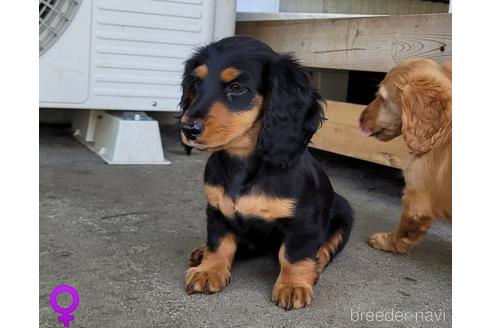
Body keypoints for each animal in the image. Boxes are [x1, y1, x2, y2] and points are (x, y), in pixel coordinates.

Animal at [179, 36, 352, 310]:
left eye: (236, 88)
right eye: (196, 83)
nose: (187, 129)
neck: (241, 163)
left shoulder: (304, 221)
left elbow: (293, 253)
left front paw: (293, 284)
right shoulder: (216, 209)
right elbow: (219, 243)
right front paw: (209, 270)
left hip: (345, 209)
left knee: (325, 248)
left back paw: (315, 266)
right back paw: (201, 251)